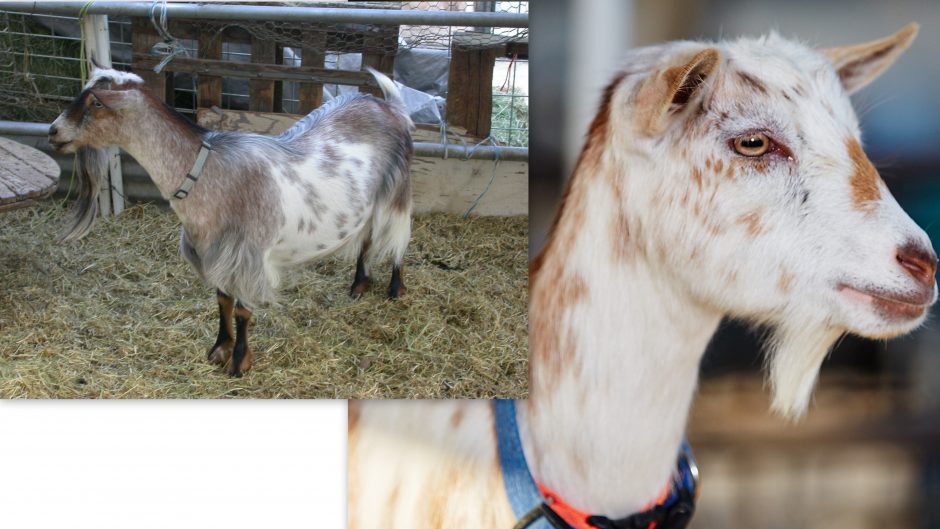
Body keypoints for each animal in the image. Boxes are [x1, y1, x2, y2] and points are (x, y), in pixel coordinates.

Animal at [50, 67, 414, 377]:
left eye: (97, 102)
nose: (53, 131)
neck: (208, 174)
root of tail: (387, 105)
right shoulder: (214, 252)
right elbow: (222, 302)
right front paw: (218, 351)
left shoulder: (248, 256)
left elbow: (241, 311)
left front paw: (239, 363)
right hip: (368, 202)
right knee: (368, 236)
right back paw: (360, 283)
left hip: (397, 192)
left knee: (398, 240)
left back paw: (396, 289)